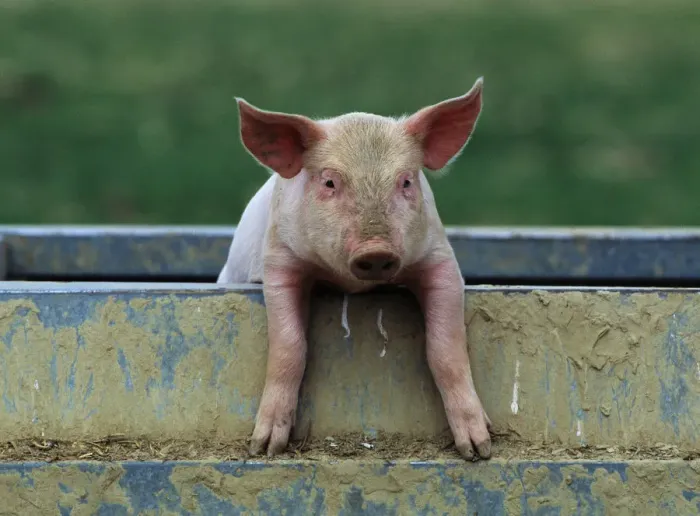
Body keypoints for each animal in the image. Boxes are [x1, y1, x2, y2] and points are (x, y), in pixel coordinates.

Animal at [217, 77, 492, 460]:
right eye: (330, 182)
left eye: (406, 181)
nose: (375, 249)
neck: (349, 283)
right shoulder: (280, 257)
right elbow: (288, 345)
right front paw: (265, 447)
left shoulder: (439, 257)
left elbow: (446, 349)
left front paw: (479, 449)